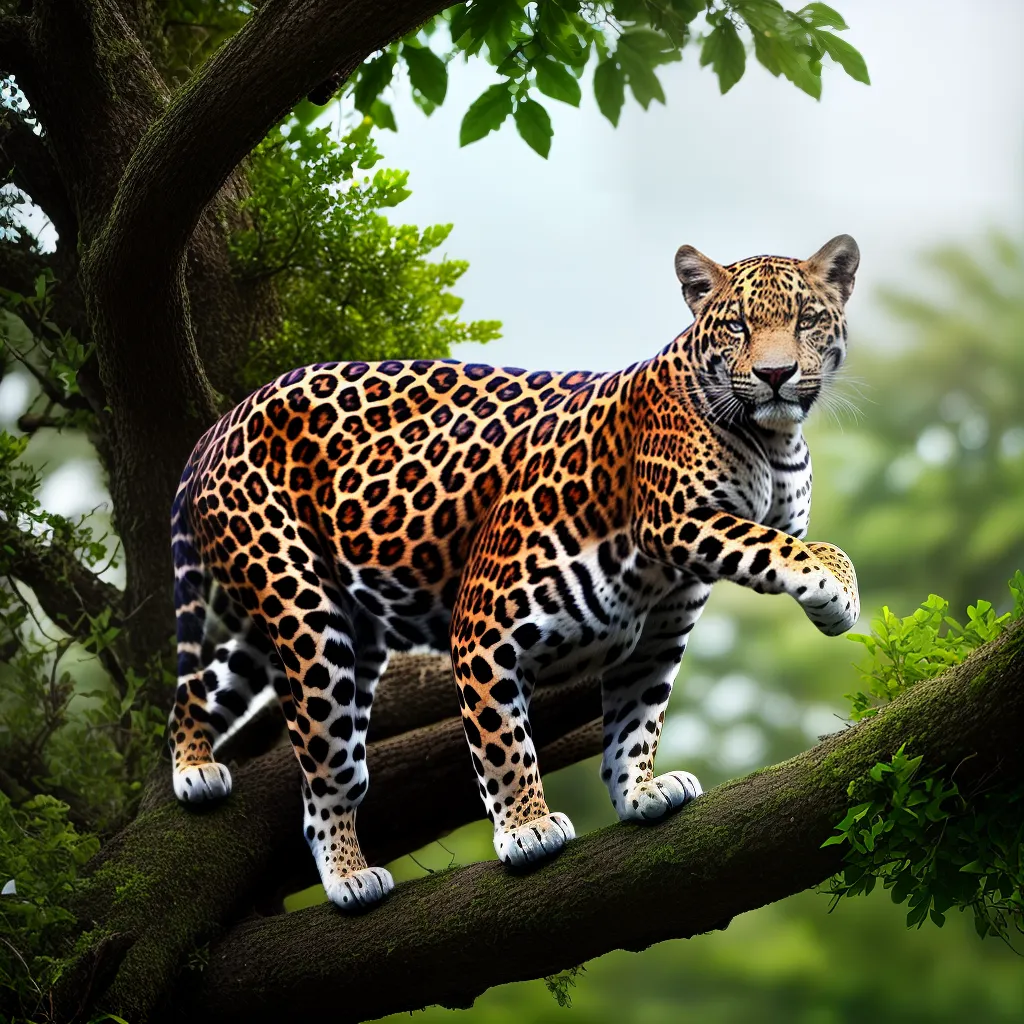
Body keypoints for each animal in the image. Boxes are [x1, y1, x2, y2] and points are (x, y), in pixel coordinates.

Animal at [169, 234, 862, 912]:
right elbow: (503, 739)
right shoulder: (494, 623)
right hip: (309, 622)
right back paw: (346, 875)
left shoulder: (658, 637)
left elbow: (636, 721)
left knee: (206, 684)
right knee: (329, 772)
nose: (776, 376)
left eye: (805, 321)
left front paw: (638, 792)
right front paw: (527, 828)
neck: (771, 447)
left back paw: (193, 764)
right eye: (738, 326)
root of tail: (219, 424)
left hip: (331, 618)